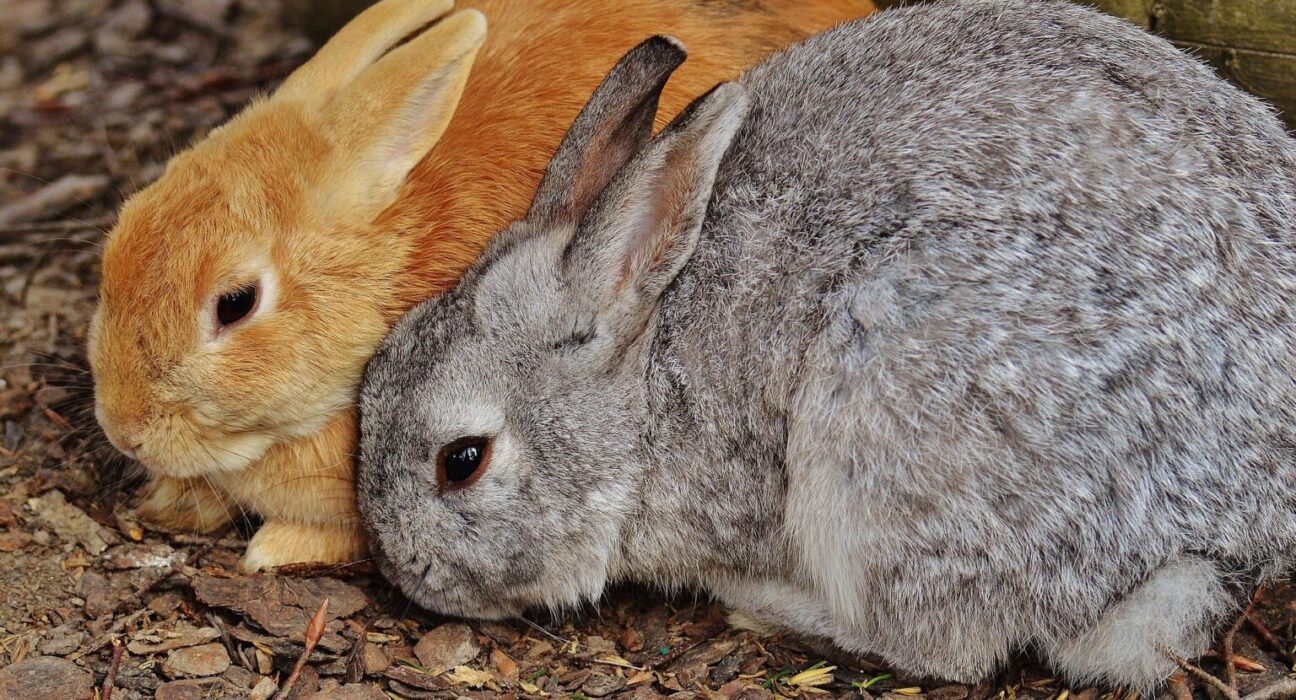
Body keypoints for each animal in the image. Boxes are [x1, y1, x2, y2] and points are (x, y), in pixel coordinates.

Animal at [355, 0, 1296, 690]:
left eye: (462, 461)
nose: (401, 568)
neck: (646, 380)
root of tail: (1234, 531)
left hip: (890, 406)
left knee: (947, 646)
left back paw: (763, 604)